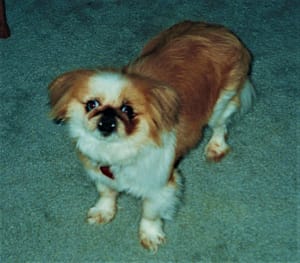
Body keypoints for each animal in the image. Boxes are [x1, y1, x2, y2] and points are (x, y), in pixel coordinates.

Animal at [48, 20, 254, 252]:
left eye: (127, 110)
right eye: (92, 104)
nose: (107, 120)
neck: (118, 150)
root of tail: (219, 30)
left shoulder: (161, 186)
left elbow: (150, 214)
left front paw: (151, 236)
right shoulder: (98, 170)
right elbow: (106, 193)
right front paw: (103, 212)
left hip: (221, 105)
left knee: (220, 126)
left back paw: (215, 148)